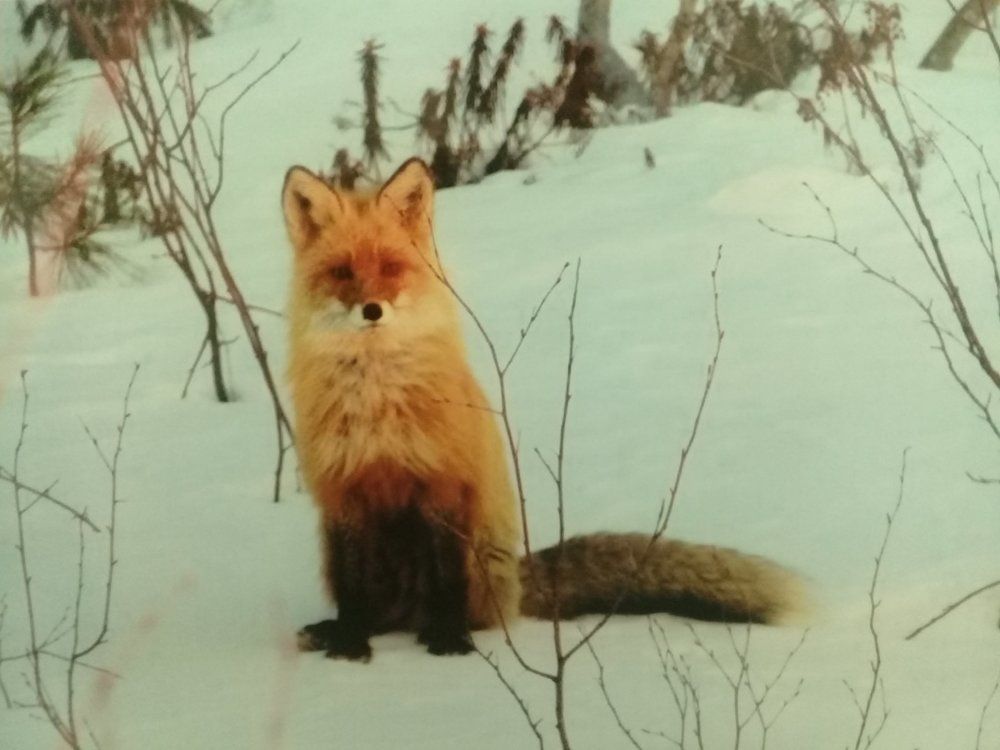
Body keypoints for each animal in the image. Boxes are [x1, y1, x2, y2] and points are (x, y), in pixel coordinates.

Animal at [280, 158, 807, 661]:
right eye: (342, 272)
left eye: (391, 267)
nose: (372, 310)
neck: (377, 401)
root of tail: (515, 584)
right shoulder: (343, 493)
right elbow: (352, 591)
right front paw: (350, 643)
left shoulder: (446, 485)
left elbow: (447, 581)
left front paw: (449, 642)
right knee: (376, 610)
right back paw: (333, 631)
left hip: (478, 560)